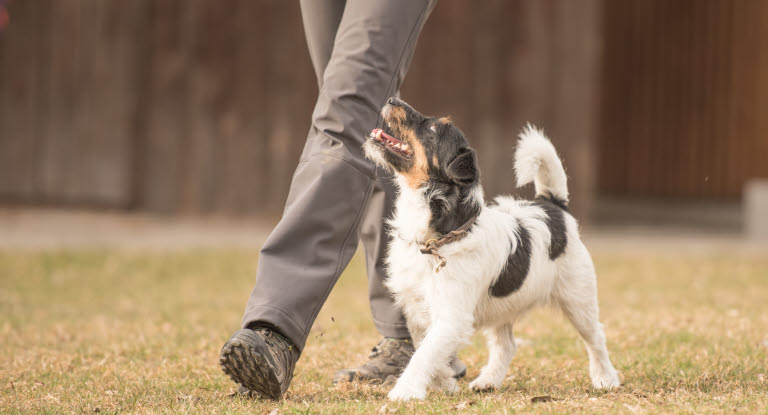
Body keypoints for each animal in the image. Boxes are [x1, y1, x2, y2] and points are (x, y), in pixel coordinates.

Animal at [364, 98, 620, 404]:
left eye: (435, 128)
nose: (392, 100)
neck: (439, 238)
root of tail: (553, 205)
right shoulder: (416, 308)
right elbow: (425, 347)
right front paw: (444, 383)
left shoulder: (452, 316)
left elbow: (424, 354)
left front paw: (405, 391)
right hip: (503, 306)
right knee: (506, 345)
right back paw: (488, 381)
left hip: (578, 299)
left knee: (596, 338)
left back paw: (605, 379)